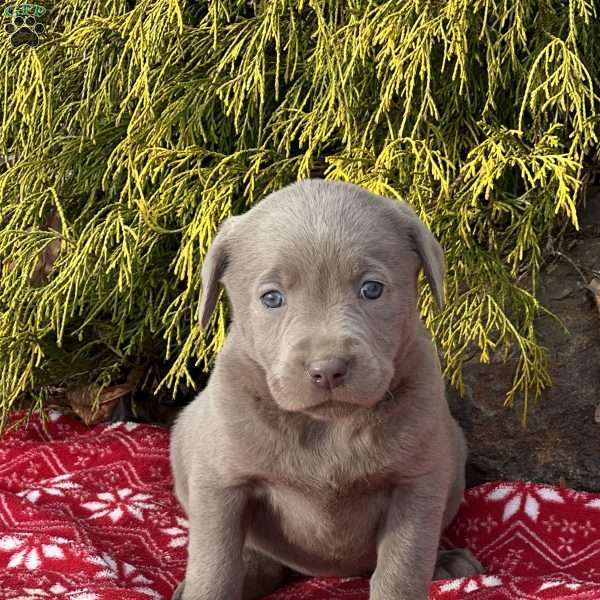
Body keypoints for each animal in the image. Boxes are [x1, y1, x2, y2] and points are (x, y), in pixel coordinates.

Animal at [170, 179, 482, 600]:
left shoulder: (417, 483)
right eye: (272, 298)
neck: (325, 427)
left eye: (371, 289)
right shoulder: (220, 481)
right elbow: (214, 565)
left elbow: (402, 568)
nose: (328, 370)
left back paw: (446, 562)